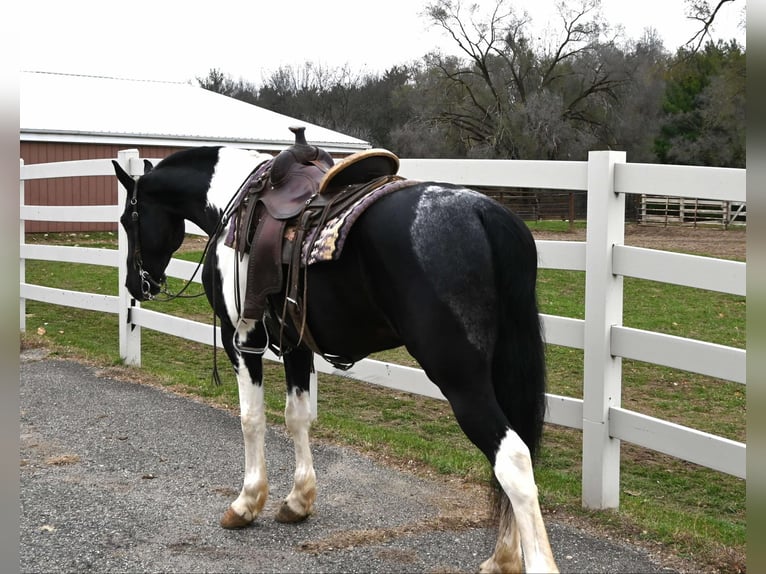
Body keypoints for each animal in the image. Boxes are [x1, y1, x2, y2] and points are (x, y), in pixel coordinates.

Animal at [112, 132, 558, 573]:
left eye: (127, 220)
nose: (137, 284)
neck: (232, 201)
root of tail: (485, 214)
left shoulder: (240, 338)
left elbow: (251, 419)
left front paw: (246, 503)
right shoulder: (295, 344)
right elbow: (297, 417)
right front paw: (298, 500)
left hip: (460, 378)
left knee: (513, 459)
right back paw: (502, 558)